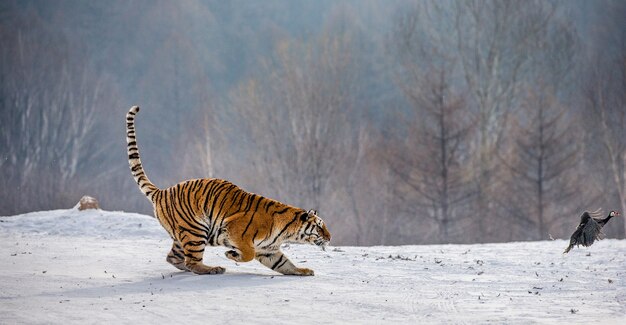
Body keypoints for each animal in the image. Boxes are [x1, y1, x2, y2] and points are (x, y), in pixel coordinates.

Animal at [127, 105, 332, 274]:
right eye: (319, 227)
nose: (330, 238)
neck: (286, 231)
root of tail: (162, 192)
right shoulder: (236, 229)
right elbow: (248, 254)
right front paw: (231, 254)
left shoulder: (269, 250)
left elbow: (284, 264)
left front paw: (303, 271)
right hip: (195, 231)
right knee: (192, 261)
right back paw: (213, 269)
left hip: (184, 233)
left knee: (176, 259)